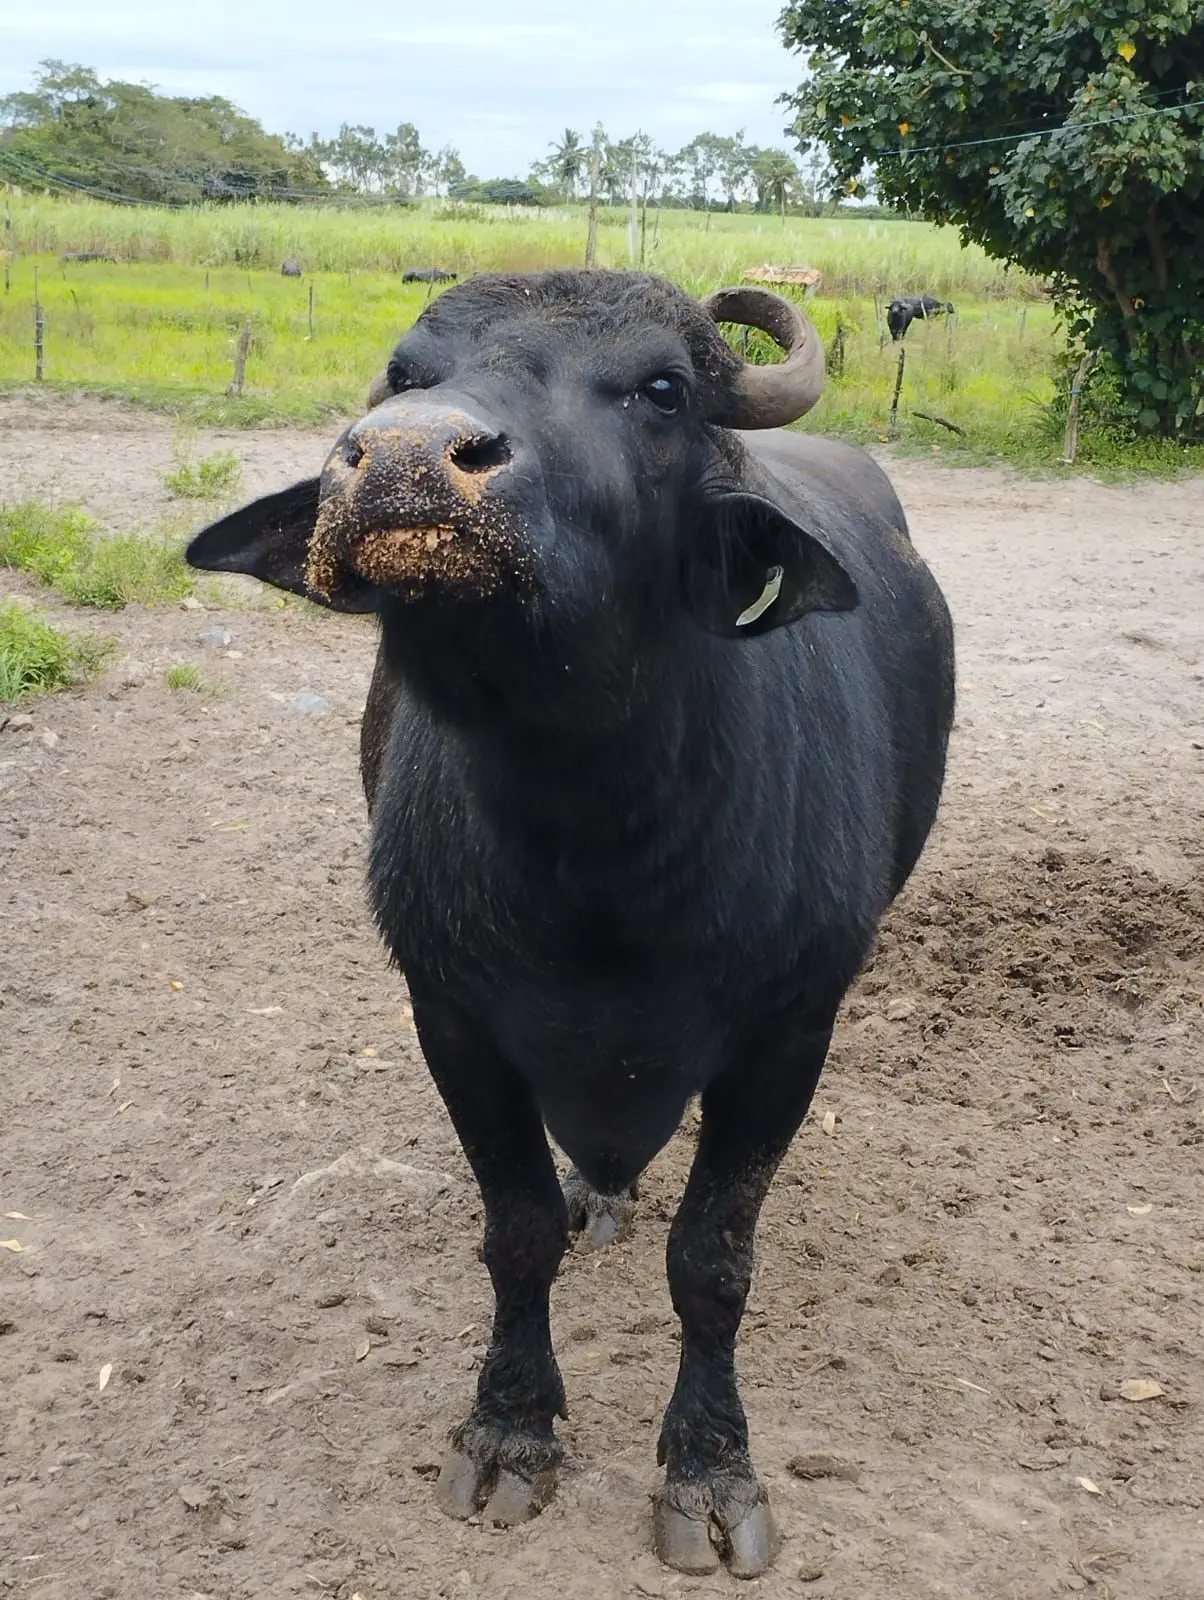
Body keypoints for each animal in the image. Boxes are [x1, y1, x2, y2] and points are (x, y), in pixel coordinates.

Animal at [187, 270, 954, 1577]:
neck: (598, 845)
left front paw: (708, 1470)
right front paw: (509, 1430)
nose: (404, 462)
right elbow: (517, 1231)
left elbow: (712, 1259)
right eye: (406, 372)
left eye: (662, 388)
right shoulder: (453, 1018)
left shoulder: (787, 1032)